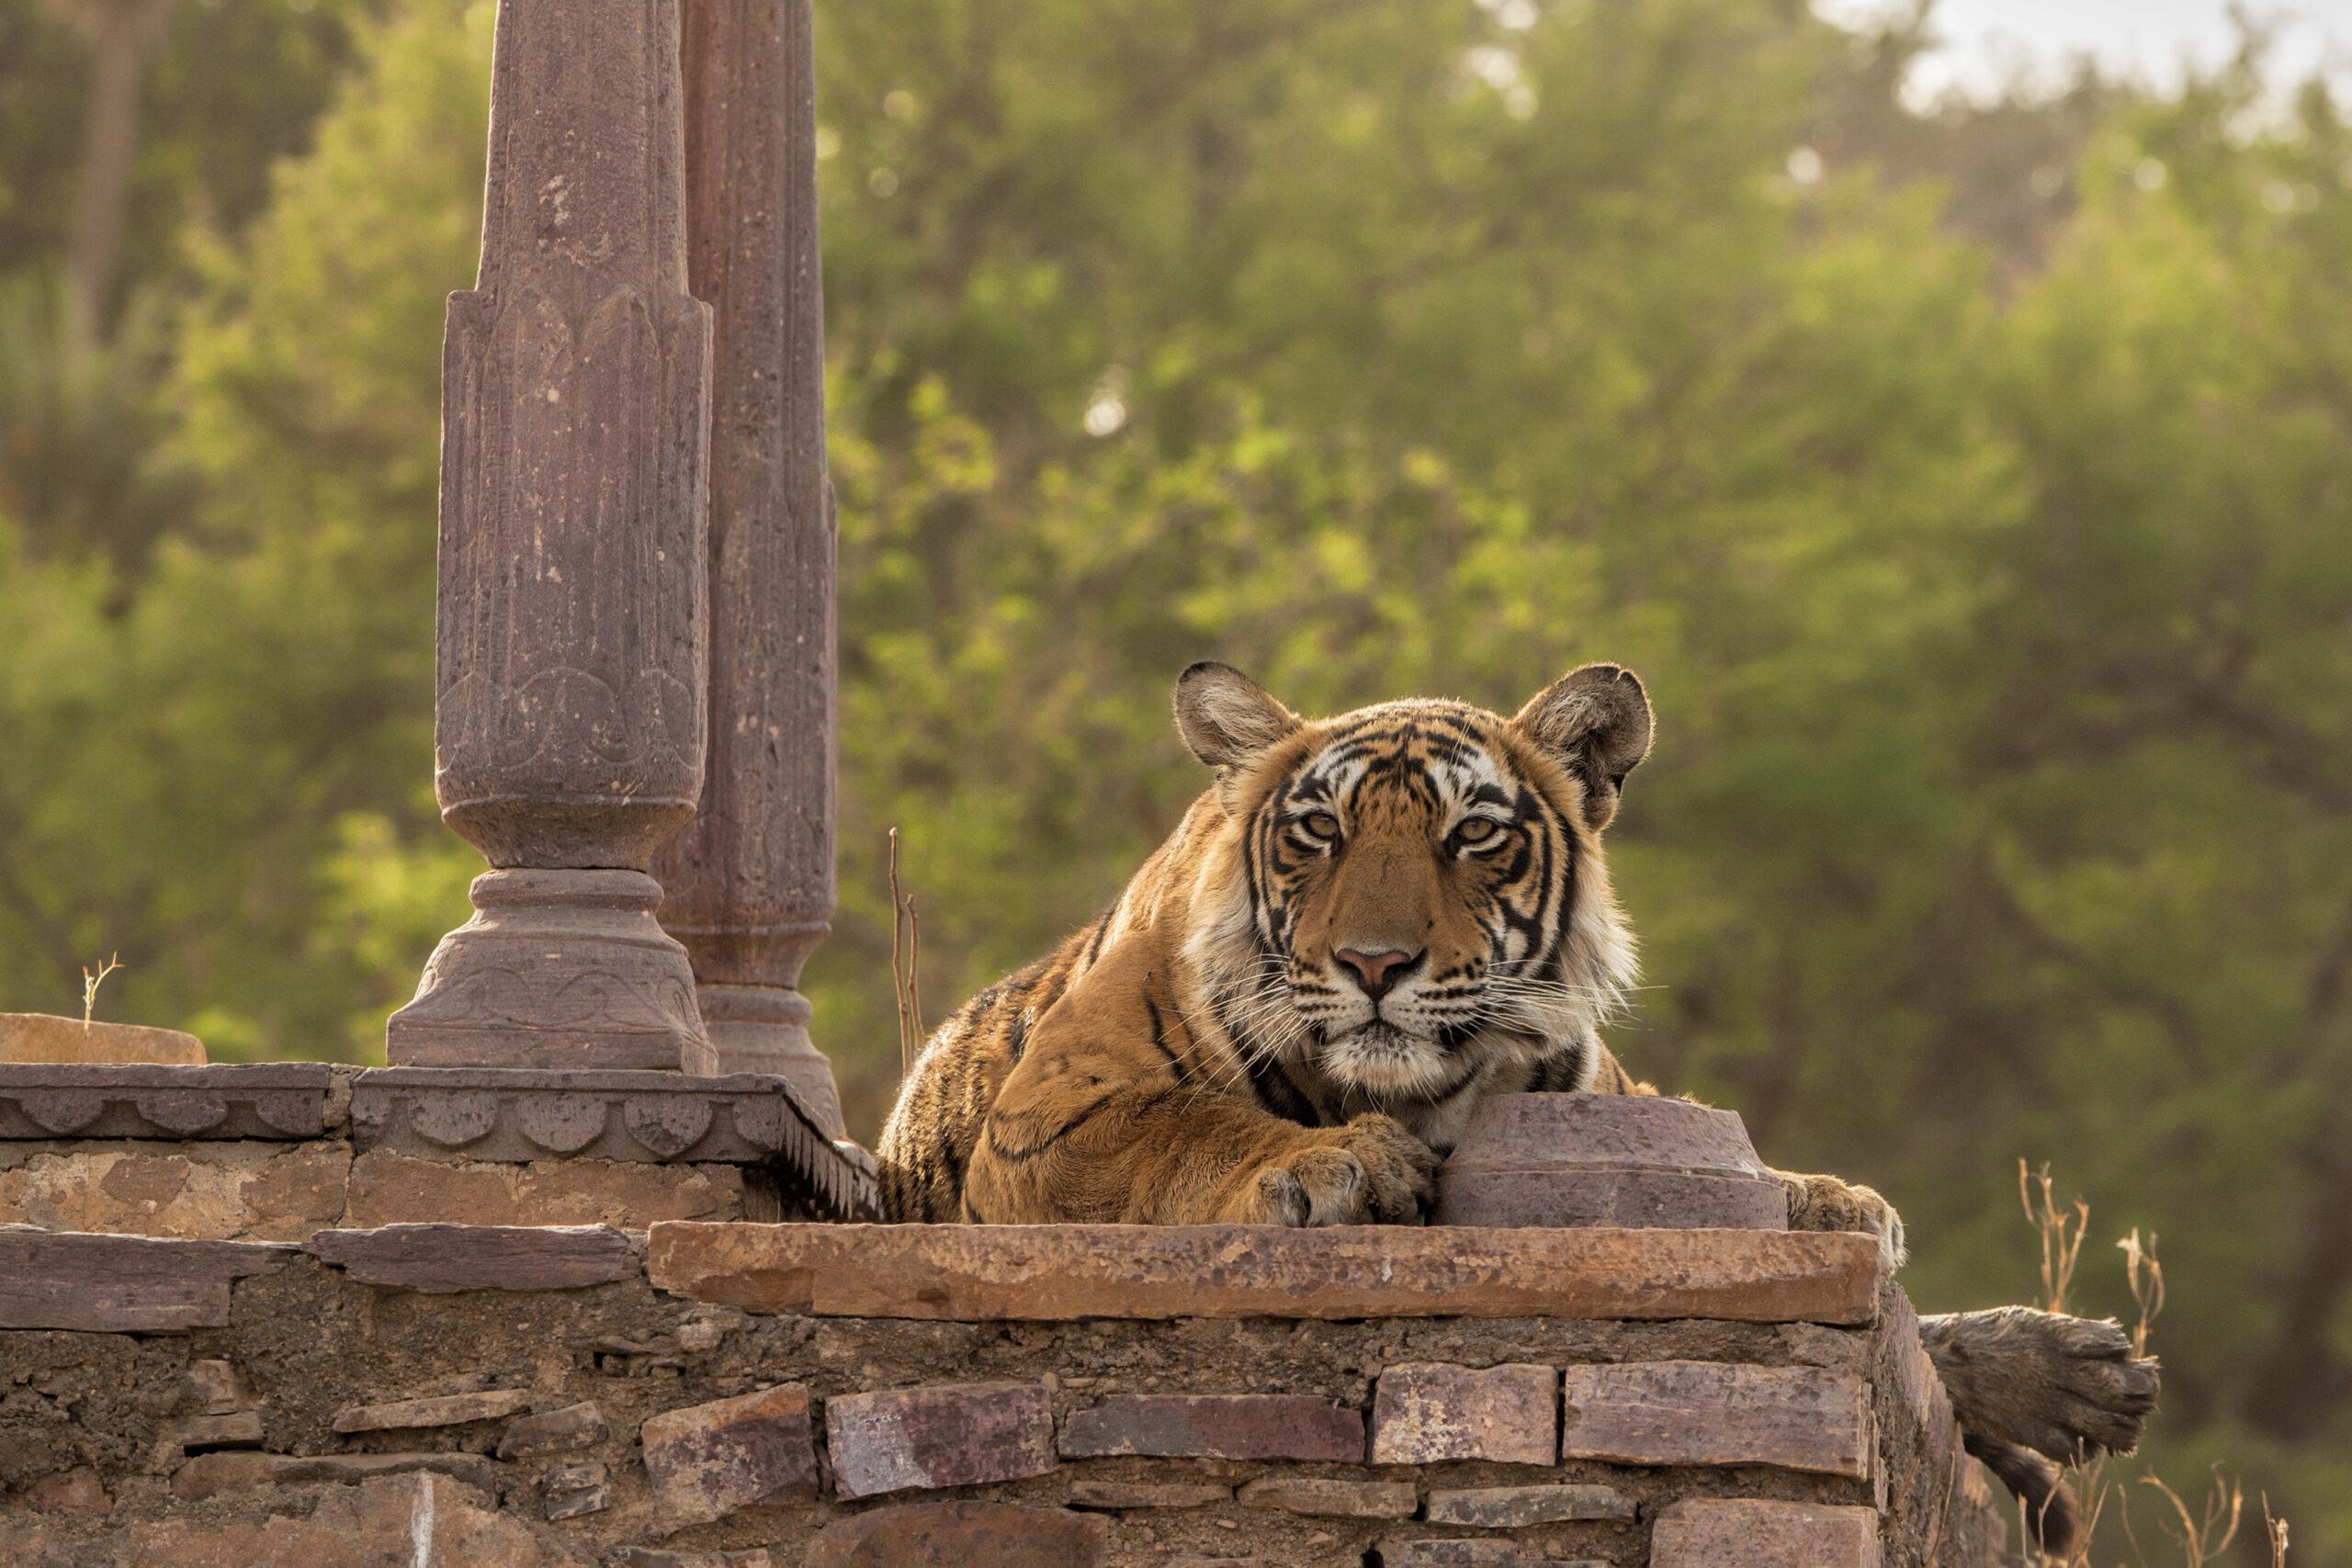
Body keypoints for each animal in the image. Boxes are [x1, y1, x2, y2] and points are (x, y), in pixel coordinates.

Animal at [876, 660, 2157, 1553]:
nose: (1374, 965)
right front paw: (1337, 1165)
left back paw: (2068, 1371)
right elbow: (1191, 1123)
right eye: (1319, 833)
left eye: (1472, 835)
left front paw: (1833, 1204)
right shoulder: (1051, 1114)